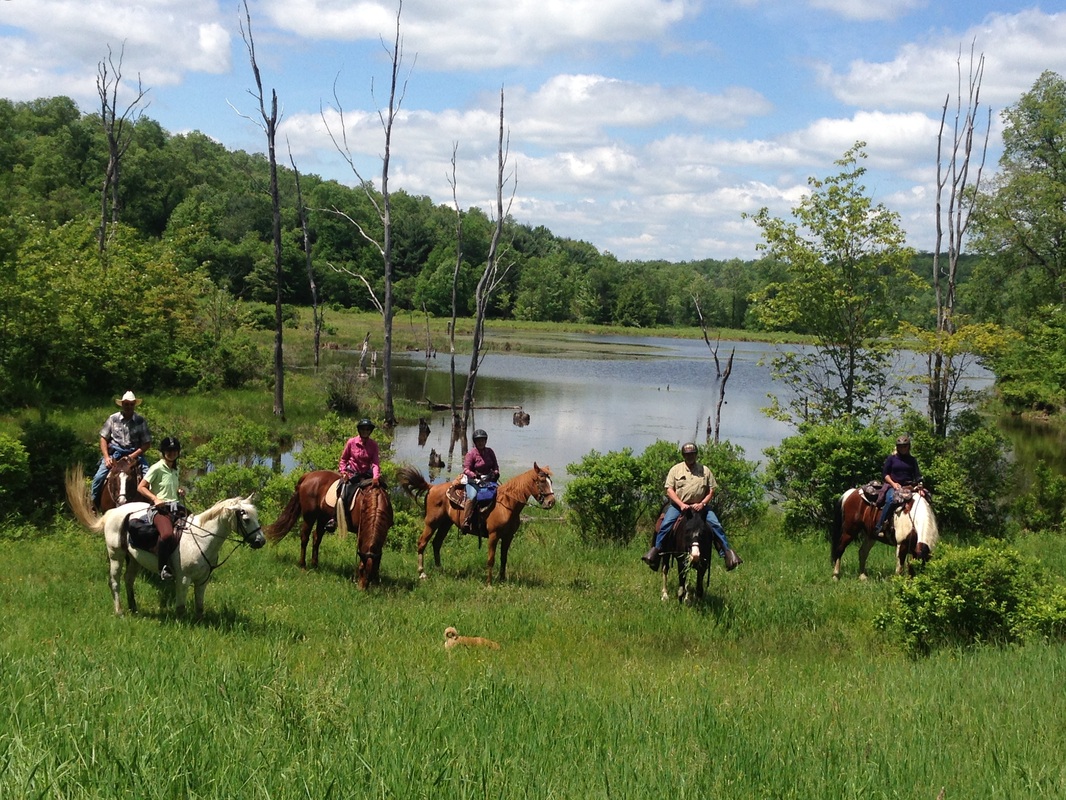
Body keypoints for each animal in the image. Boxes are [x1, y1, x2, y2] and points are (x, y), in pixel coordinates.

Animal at [65, 467, 265, 618]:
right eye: (246, 519)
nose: (261, 541)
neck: (201, 538)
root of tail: (113, 513)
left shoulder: (202, 580)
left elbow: (199, 606)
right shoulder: (183, 579)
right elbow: (181, 607)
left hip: (134, 559)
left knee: (129, 580)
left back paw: (134, 609)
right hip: (116, 555)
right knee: (115, 582)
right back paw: (119, 612)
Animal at [396, 460, 554, 584]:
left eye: (550, 482)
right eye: (541, 481)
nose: (551, 502)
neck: (507, 505)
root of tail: (432, 487)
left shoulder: (508, 537)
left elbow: (503, 558)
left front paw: (502, 579)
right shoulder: (493, 535)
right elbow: (491, 559)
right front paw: (489, 584)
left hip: (446, 524)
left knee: (437, 543)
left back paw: (439, 569)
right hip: (431, 523)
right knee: (422, 543)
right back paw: (422, 573)